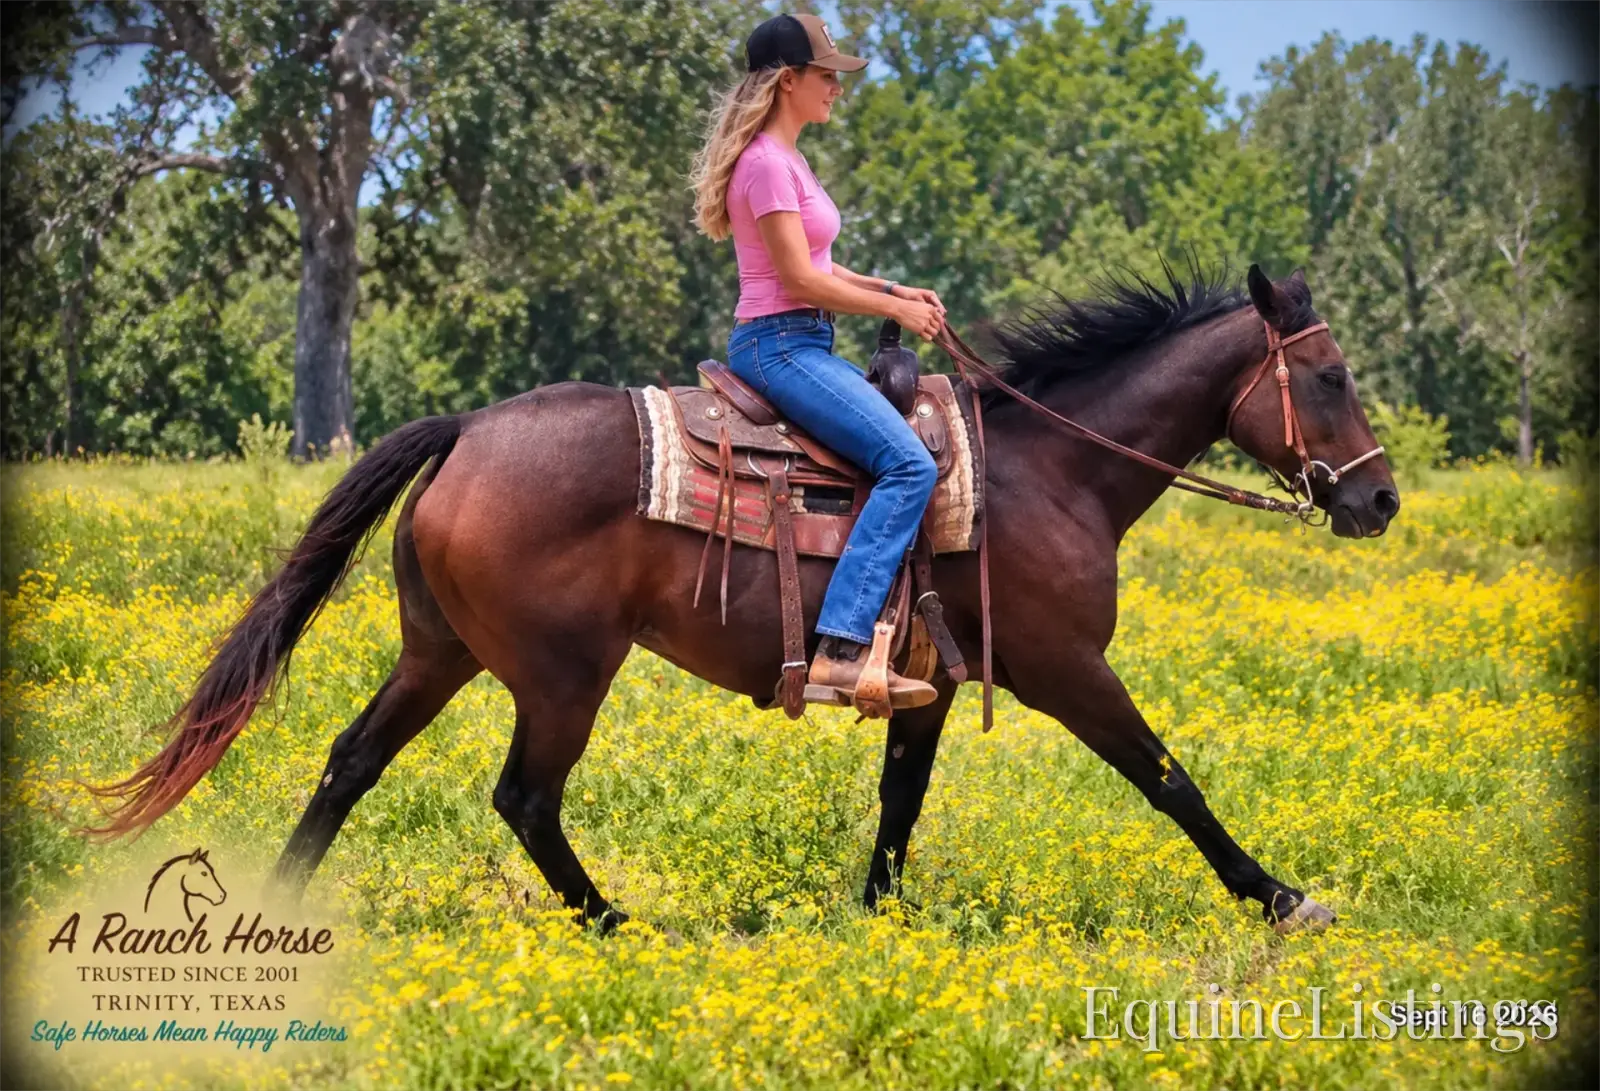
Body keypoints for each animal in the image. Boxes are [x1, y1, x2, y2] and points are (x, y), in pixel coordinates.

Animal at [87, 264, 1399, 935]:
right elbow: (1169, 776)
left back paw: (279, 911)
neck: (1048, 471)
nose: (1378, 498)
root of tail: (466, 427)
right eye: (1333, 375)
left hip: (439, 650)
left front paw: (874, 918)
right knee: (524, 796)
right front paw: (1281, 896)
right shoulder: (1068, 667)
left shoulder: (929, 682)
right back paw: (615, 924)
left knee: (351, 758)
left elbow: (900, 798)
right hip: (562, 672)